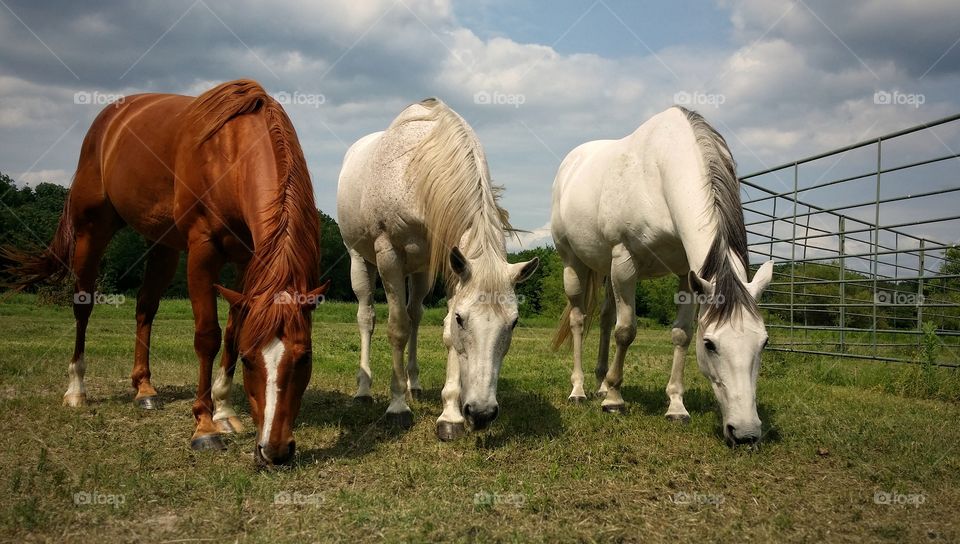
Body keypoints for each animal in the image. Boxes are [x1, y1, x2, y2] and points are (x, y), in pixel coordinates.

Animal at [3, 78, 328, 466]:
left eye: (305, 357)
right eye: (250, 362)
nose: (274, 450)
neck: (231, 152)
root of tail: (108, 120)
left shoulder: (247, 262)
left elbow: (233, 332)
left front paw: (224, 410)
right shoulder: (202, 251)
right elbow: (208, 336)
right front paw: (204, 426)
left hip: (162, 245)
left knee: (145, 308)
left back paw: (144, 389)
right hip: (91, 232)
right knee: (83, 307)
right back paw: (76, 390)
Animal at [336, 96, 540, 438]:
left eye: (513, 323)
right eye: (462, 320)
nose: (481, 413)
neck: (416, 174)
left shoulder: (451, 263)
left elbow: (440, 335)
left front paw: (450, 416)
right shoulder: (388, 254)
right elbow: (397, 328)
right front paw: (397, 407)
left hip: (419, 271)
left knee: (415, 316)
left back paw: (414, 386)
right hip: (360, 260)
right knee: (367, 317)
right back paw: (364, 391)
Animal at [552, 105, 776, 446]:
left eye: (763, 343)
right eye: (710, 344)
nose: (746, 433)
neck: (659, 173)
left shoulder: (687, 274)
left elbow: (680, 333)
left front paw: (676, 406)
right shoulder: (625, 261)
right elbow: (626, 331)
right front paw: (615, 400)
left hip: (606, 270)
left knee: (605, 317)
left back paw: (601, 383)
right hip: (573, 263)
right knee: (579, 320)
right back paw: (579, 390)